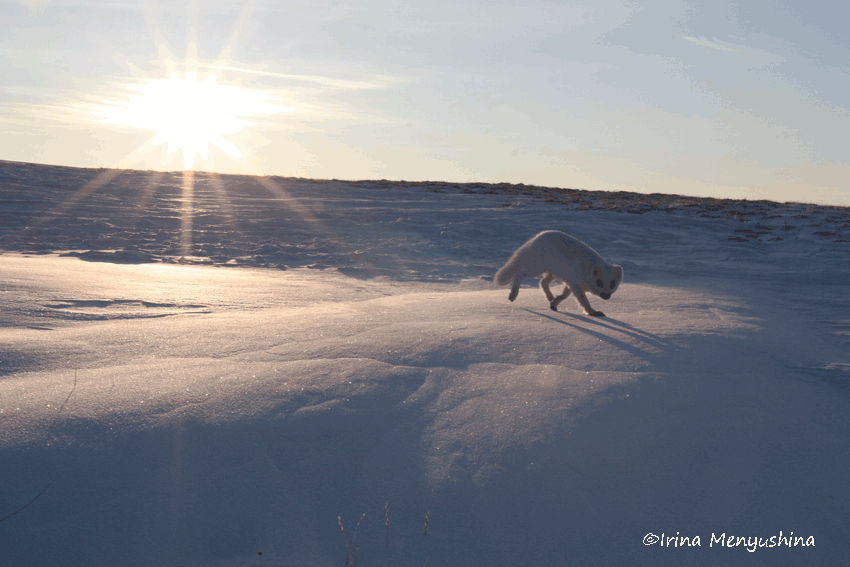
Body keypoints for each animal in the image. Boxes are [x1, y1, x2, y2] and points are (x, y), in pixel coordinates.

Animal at [490, 232, 624, 320]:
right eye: (599, 282)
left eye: (612, 283)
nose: (606, 296)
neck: (586, 269)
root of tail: (536, 238)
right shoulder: (575, 284)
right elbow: (583, 300)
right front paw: (592, 312)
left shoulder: (570, 283)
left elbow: (564, 295)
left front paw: (554, 303)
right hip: (536, 269)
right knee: (519, 274)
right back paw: (513, 294)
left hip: (554, 274)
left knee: (542, 282)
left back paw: (549, 296)